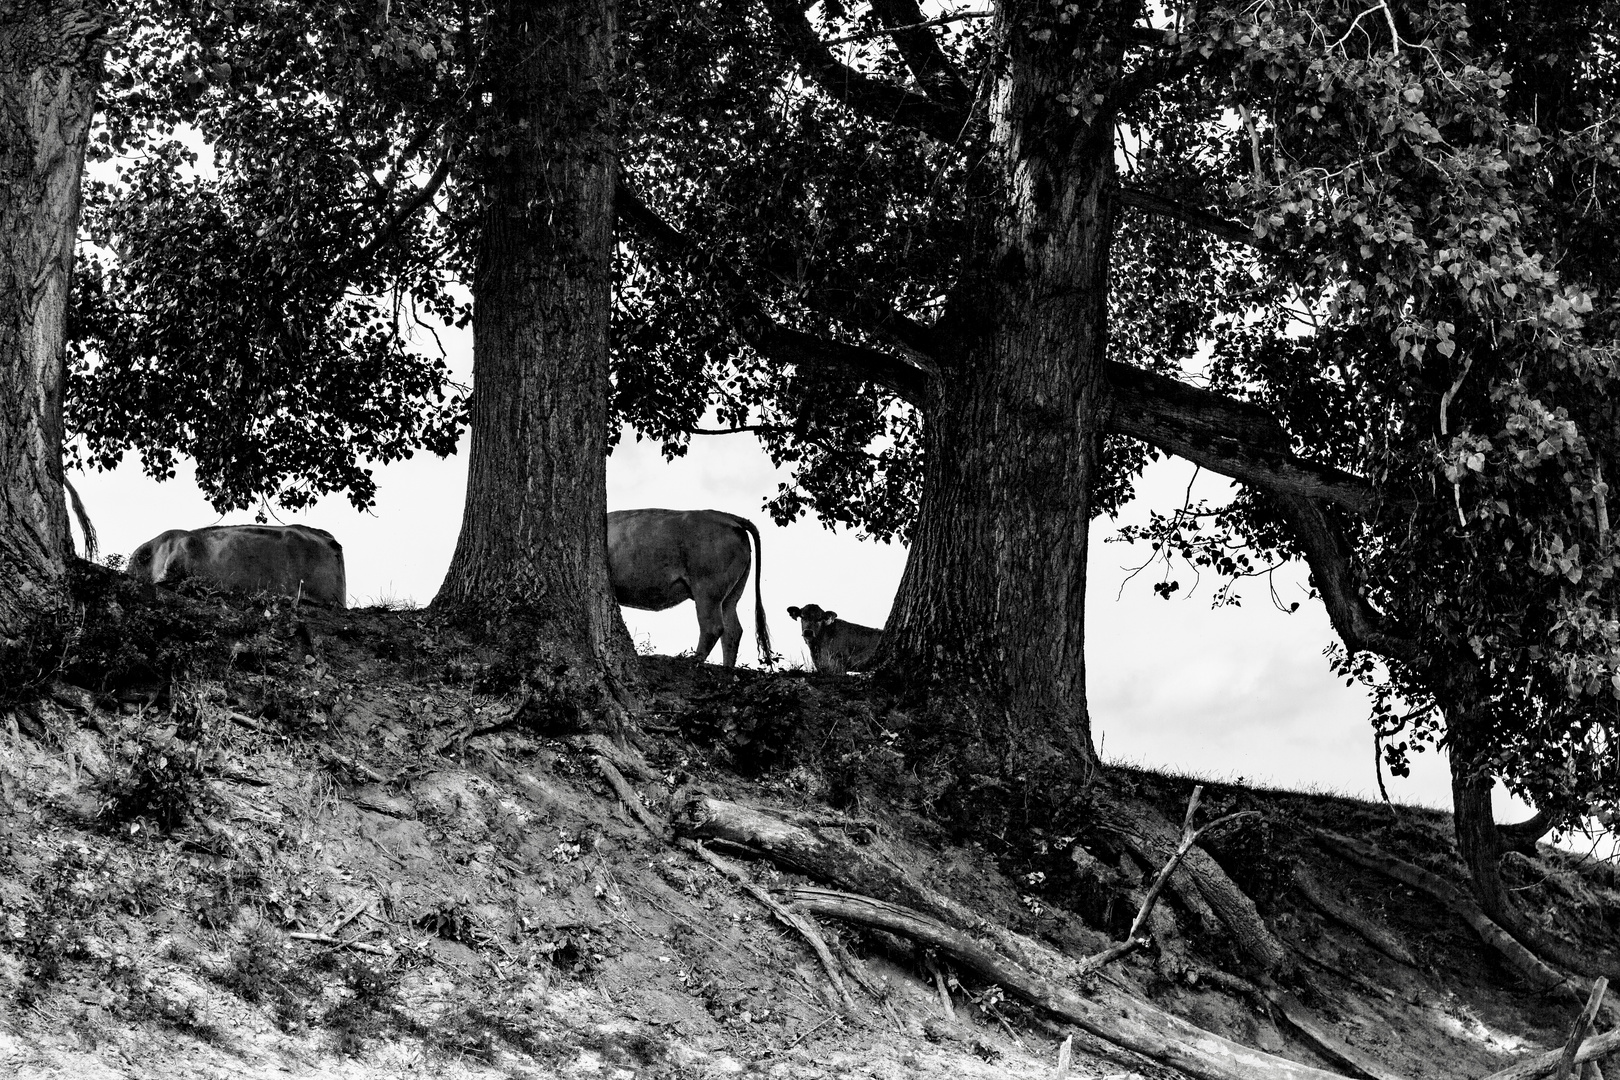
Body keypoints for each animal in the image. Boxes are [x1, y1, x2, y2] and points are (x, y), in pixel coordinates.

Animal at [609, 508, 774, 667]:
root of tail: (727, 517)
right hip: (731, 596)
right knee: (732, 630)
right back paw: (727, 667)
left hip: (707, 593)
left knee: (713, 627)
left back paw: (693, 660)